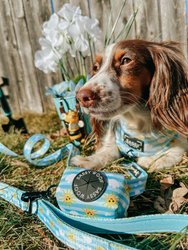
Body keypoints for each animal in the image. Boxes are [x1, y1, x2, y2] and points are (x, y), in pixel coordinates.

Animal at [71, 40, 187, 171]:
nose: (81, 97)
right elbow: (109, 151)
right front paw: (88, 160)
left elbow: (177, 146)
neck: (137, 124)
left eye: (126, 60)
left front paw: (157, 158)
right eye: (95, 67)